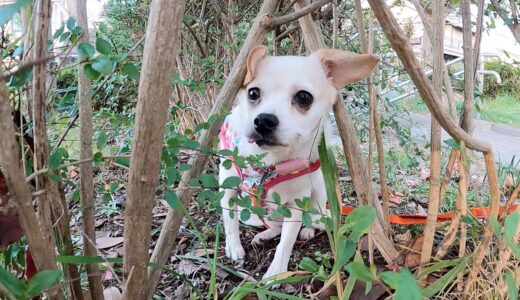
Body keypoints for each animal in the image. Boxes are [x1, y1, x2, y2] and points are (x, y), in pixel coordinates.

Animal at [217, 45, 376, 280]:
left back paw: (306, 230)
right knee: (272, 225)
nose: (263, 120)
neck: (269, 162)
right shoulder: (228, 189)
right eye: (253, 93)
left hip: (319, 200)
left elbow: (285, 243)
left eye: (303, 97)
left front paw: (275, 274)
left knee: (306, 222)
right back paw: (264, 235)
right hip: (253, 215)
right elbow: (230, 221)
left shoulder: (296, 205)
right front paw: (233, 247)